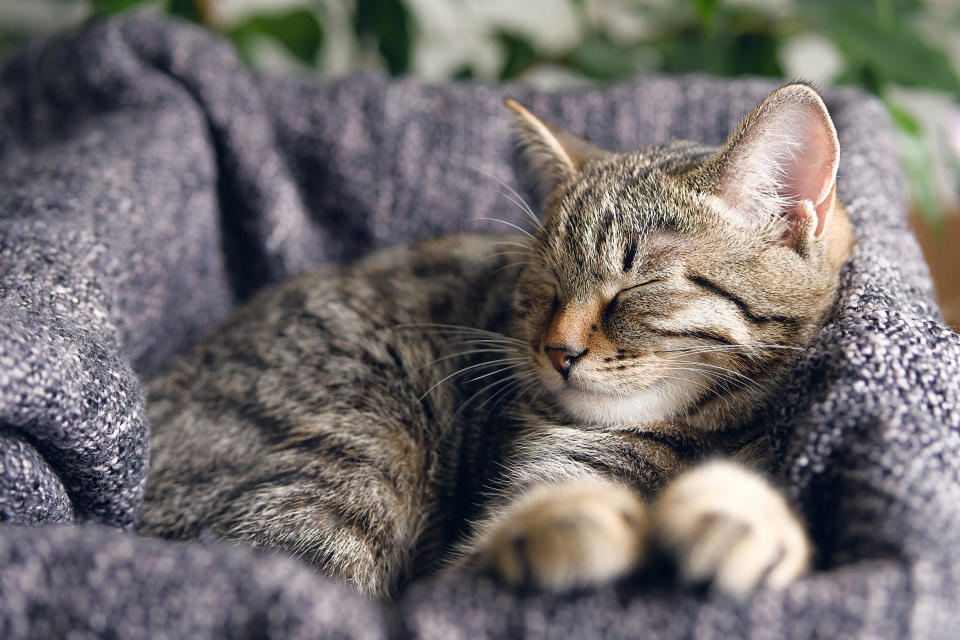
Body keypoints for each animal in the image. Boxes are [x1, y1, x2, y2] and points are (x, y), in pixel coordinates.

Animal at [137, 84, 856, 600]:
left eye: (638, 284)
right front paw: (572, 524)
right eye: (542, 285)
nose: (559, 351)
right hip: (361, 440)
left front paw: (747, 518)